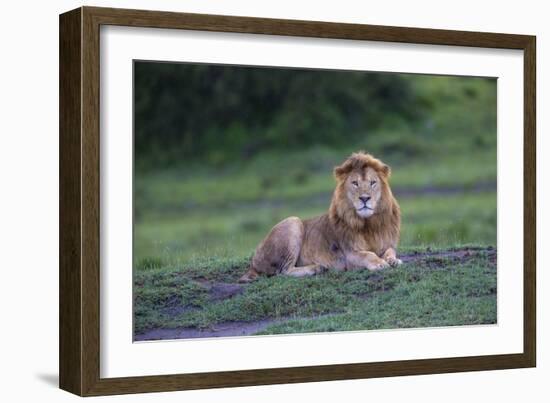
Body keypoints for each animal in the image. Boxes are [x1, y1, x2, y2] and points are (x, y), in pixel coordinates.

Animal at [239, 152, 404, 284]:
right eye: (355, 183)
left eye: (373, 182)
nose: (364, 198)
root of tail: (253, 262)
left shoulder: (387, 244)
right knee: (283, 271)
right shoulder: (349, 255)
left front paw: (394, 261)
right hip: (293, 221)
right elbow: (368, 255)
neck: (368, 224)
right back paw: (317, 268)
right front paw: (380, 263)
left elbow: (390, 251)